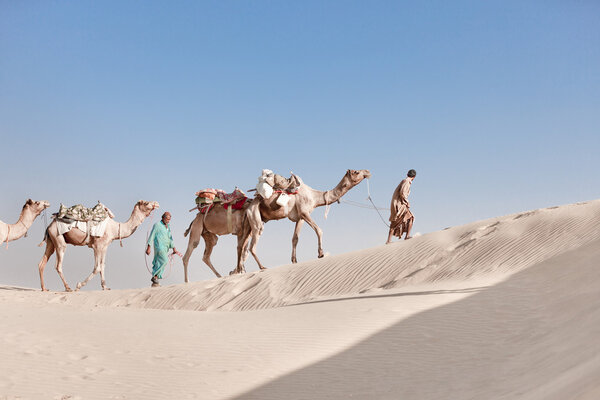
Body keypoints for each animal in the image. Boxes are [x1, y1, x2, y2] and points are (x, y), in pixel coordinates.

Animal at [234, 169, 370, 276]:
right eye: (356, 172)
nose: (367, 172)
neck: (315, 197)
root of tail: (249, 205)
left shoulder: (300, 218)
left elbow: (295, 238)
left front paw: (294, 260)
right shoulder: (305, 212)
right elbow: (319, 230)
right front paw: (320, 253)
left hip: (249, 222)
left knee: (241, 245)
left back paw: (239, 270)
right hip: (256, 220)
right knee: (252, 246)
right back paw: (262, 267)